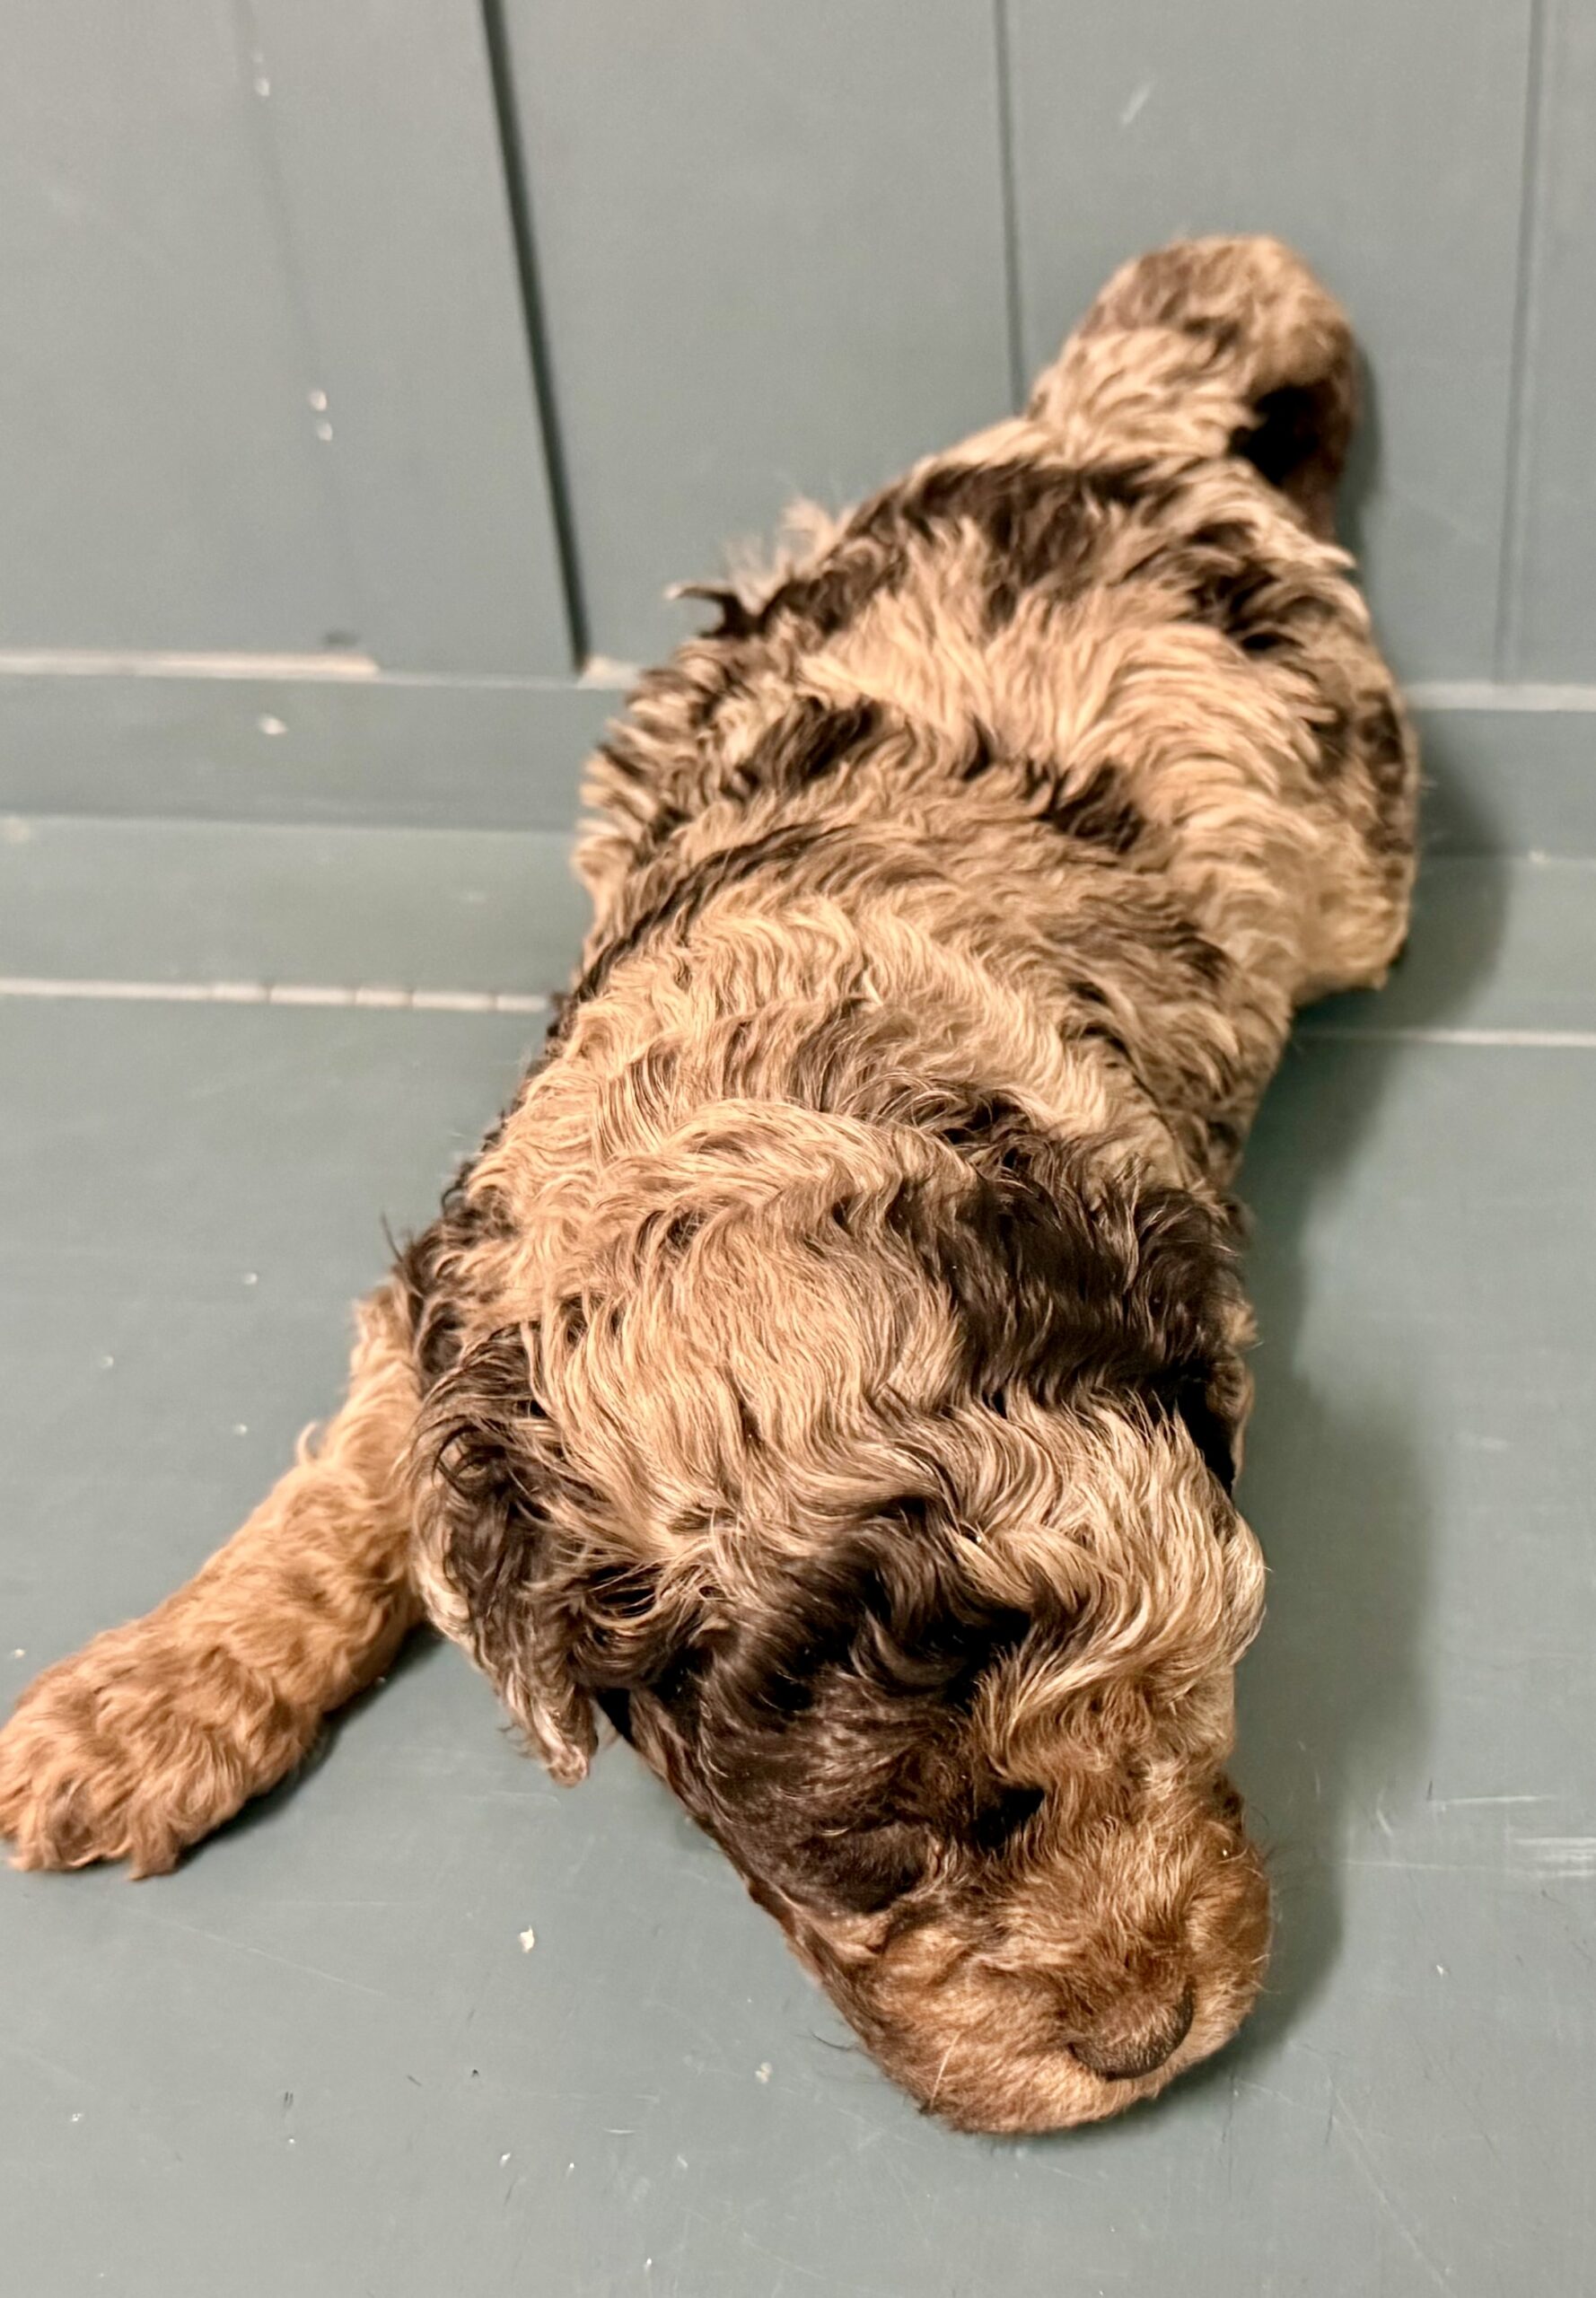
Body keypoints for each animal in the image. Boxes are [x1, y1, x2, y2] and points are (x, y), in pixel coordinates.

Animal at [0, 238, 1416, 2132]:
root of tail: (1116, 423)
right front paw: (144, 1709)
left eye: (1195, 1696)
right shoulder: (458, 1313)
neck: (764, 1141)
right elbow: (347, 1494)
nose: (1147, 2041)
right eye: (872, 1850)